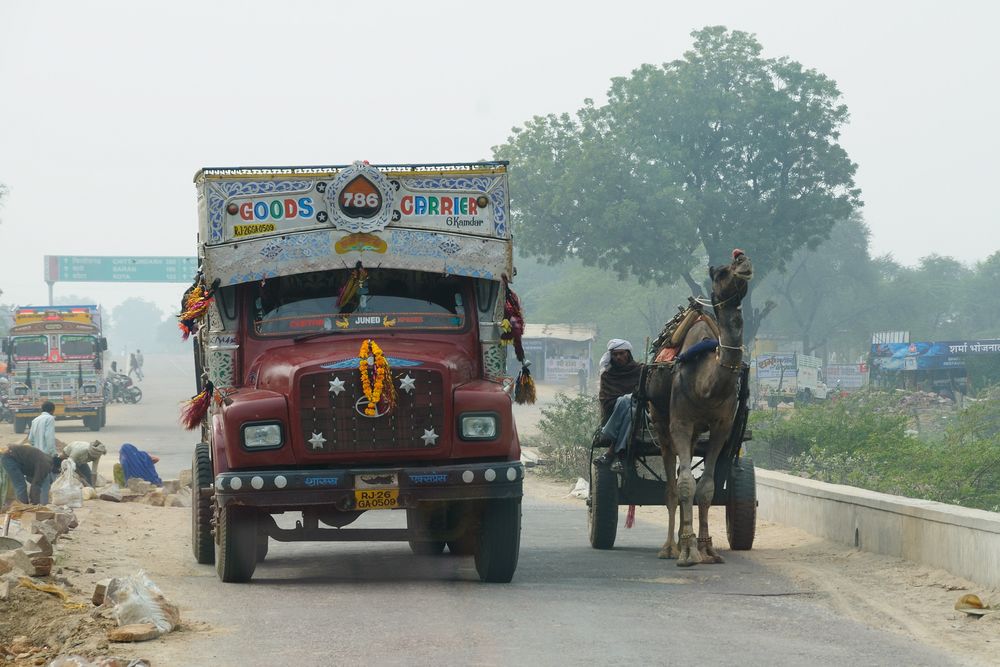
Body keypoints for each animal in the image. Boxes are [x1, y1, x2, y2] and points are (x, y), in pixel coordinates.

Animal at [648, 250, 752, 568]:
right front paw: (686, 552)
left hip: (695, 433)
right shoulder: (680, 424)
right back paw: (670, 547)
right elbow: (684, 485)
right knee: (671, 488)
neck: (706, 383)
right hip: (661, 424)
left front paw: (706, 549)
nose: (743, 259)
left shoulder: (721, 427)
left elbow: (705, 488)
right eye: (720, 272)